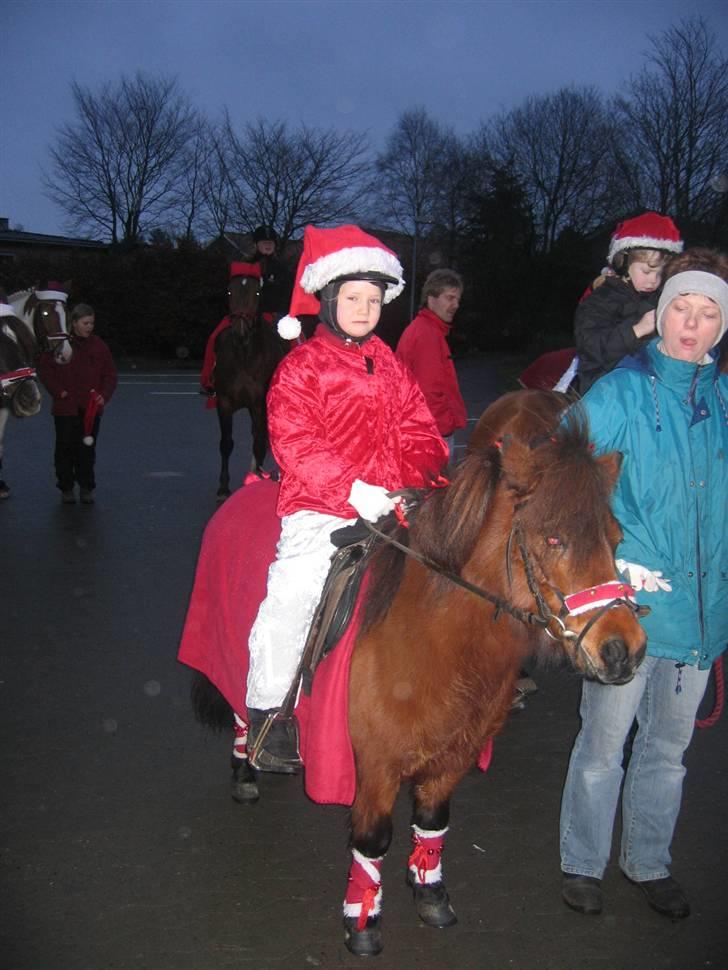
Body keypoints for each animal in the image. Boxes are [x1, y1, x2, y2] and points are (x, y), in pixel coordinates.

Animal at [213, 272, 284, 500]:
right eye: (229, 292)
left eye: (258, 293)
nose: (240, 329)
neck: (244, 357)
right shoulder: (224, 402)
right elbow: (226, 444)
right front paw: (223, 487)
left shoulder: (259, 403)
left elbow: (259, 441)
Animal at [342, 386, 648, 952]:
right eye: (553, 539)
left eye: (616, 538)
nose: (626, 650)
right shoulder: (375, 765)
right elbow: (372, 841)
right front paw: (363, 920)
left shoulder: (453, 756)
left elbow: (432, 822)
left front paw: (430, 893)